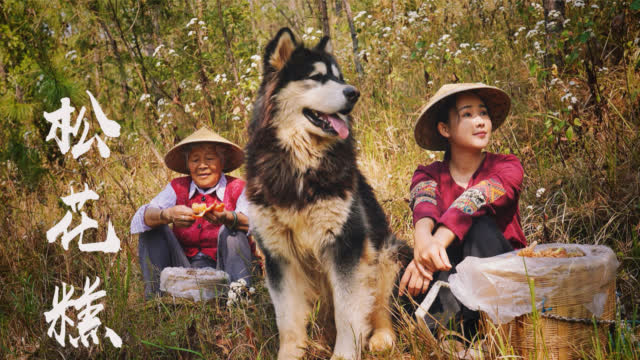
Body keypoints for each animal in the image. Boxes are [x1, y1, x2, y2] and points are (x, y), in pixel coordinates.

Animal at [246, 28, 400, 360]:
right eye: (316, 77)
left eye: (340, 79)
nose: (353, 93)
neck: (300, 166)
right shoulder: (278, 255)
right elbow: (287, 319)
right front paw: (290, 353)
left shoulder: (347, 246)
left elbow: (348, 313)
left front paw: (344, 353)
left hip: (389, 254)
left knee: (381, 306)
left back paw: (382, 337)